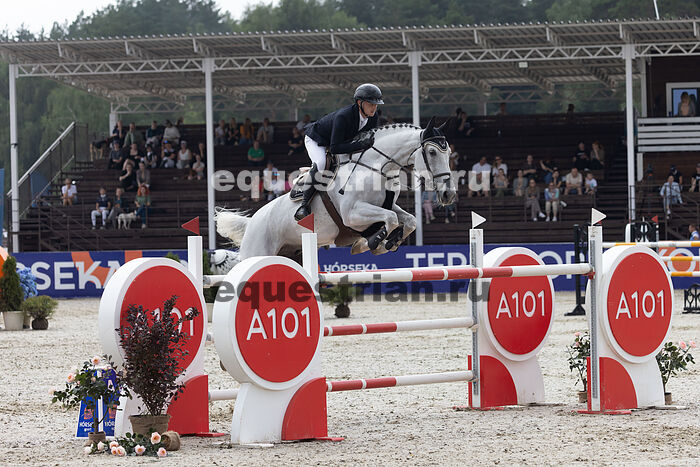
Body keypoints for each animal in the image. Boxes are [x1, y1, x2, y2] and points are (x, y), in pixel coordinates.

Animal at [215, 118, 455, 263]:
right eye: (432, 152)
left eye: (449, 152)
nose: (449, 194)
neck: (376, 167)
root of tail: (252, 222)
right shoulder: (352, 214)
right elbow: (391, 219)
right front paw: (374, 242)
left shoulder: (386, 205)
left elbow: (408, 220)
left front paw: (383, 242)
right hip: (257, 250)